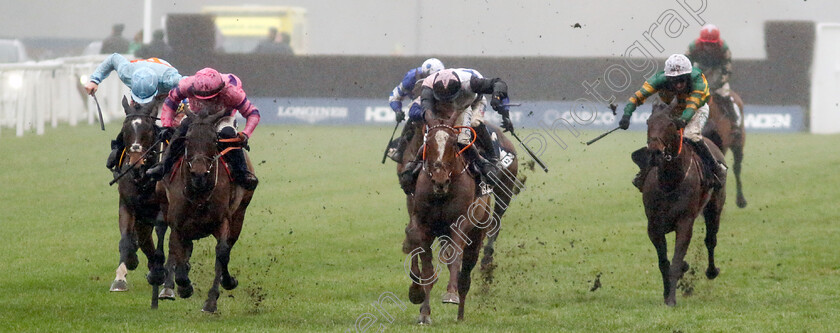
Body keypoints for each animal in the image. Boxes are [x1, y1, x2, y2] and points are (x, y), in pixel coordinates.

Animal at [110, 94, 172, 304]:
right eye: (125, 129)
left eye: (148, 129)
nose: (136, 163)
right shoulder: (127, 206)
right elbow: (126, 241)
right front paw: (121, 277)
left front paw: (161, 275)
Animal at [158, 105, 256, 312]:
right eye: (187, 139)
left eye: (213, 140)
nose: (199, 173)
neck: (199, 192)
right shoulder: (178, 223)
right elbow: (177, 251)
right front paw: (183, 286)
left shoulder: (223, 220)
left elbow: (222, 253)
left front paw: (213, 298)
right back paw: (168, 286)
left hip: (240, 213)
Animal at [640, 100, 724, 306]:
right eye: (648, 122)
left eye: (670, 124)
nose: (655, 152)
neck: (670, 181)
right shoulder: (653, 225)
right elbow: (664, 262)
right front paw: (666, 293)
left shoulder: (685, 222)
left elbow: (676, 261)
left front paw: (671, 298)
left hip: (715, 207)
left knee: (711, 239)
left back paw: (711, 271)